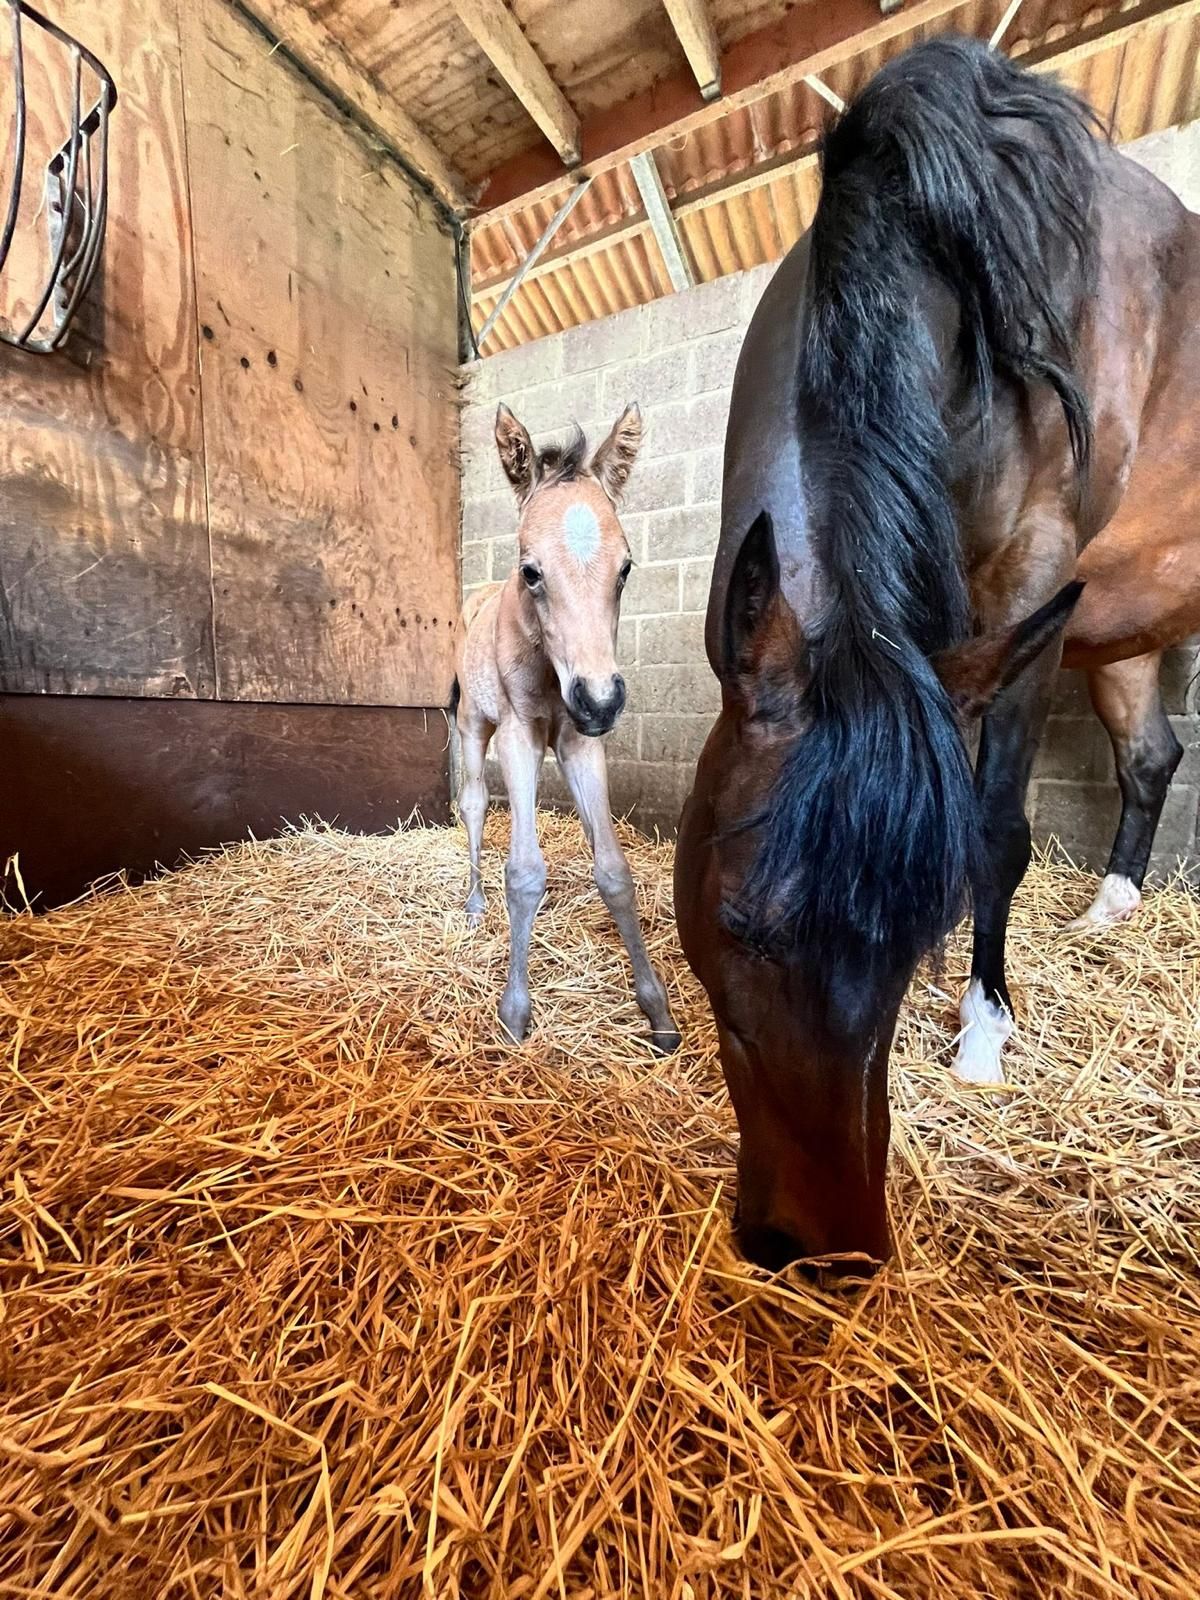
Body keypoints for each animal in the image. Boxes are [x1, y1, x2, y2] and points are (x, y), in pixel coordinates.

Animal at [453, 401, 682, 1054]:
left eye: (626, 568)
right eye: (531, 572)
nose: (601, 699)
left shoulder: (581, 742)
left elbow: (615, 871)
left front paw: (657, 1012)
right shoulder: (519, 736)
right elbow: (525, 870)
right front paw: (514, 1012)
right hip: (473, 726)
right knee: (473, 803)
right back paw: (475, 904)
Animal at [674, 36, 1200, 1272]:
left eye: (914, 939)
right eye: (737, 929)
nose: (822, 1247)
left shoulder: (1034, 579)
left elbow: (997, 829)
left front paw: (983, 1031)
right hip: (1120, 634)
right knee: (1151, 755)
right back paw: (1108, 908)